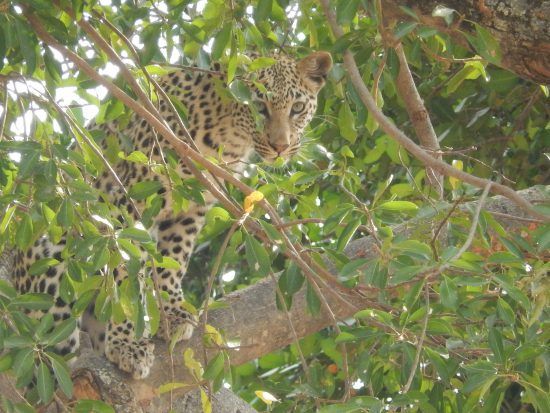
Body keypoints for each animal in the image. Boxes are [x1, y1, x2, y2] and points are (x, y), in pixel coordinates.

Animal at [11, 50, 332, 376]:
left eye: (297, 108)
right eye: (258, 106)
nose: (280, 147)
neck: (229, 135)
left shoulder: (191, 205)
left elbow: (175, 258)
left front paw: (173, 313)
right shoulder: (129, 202)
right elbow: (125, 273)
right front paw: (127, 342)